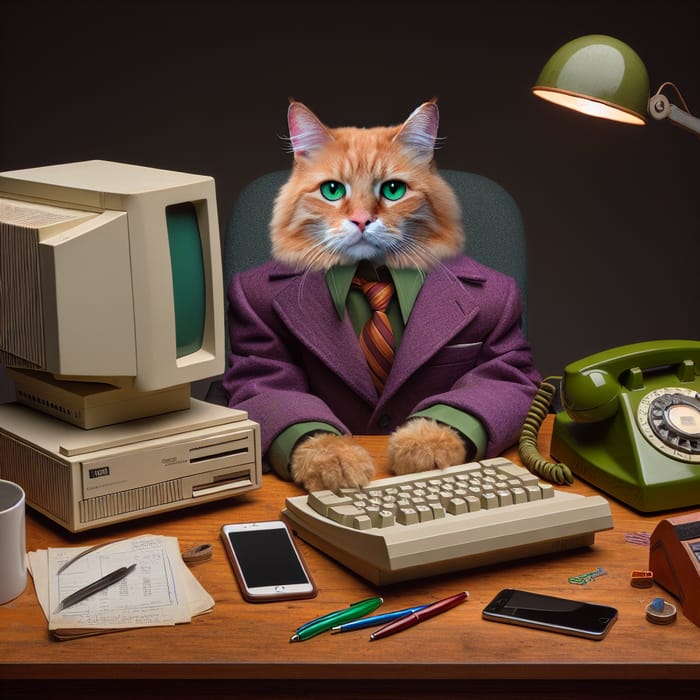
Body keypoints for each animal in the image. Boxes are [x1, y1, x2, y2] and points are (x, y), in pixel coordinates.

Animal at [221, 100, 540, 492]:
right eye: (332, 191)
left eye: (392, 190)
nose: (361, 221)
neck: (372, 273)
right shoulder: (262, 363)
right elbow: (299, 417)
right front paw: (337, 460)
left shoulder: (508, 363)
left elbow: (470, 397)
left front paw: (422, 446)